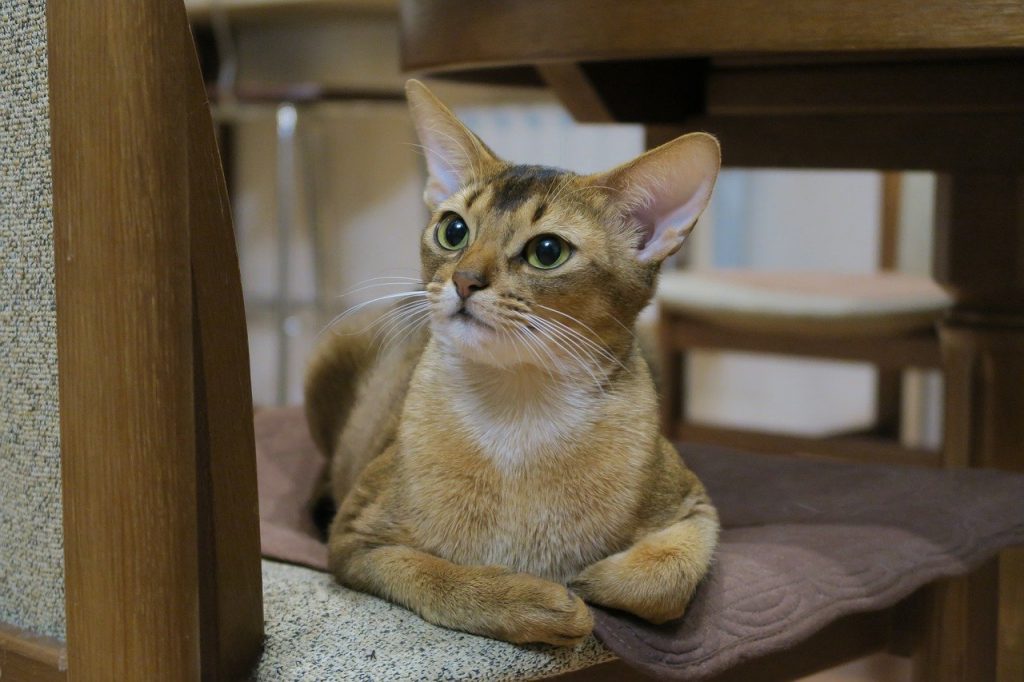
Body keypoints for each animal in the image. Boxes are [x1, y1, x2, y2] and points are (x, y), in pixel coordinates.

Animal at [303, 79, 720, 643]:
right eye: (453, 230)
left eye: (547, 251)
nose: (463, 280)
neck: (518, 413)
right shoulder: (353, 538)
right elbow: (435, 575)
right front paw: (537, 601)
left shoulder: (697, 506)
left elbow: (666, 582)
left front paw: (589, 580)